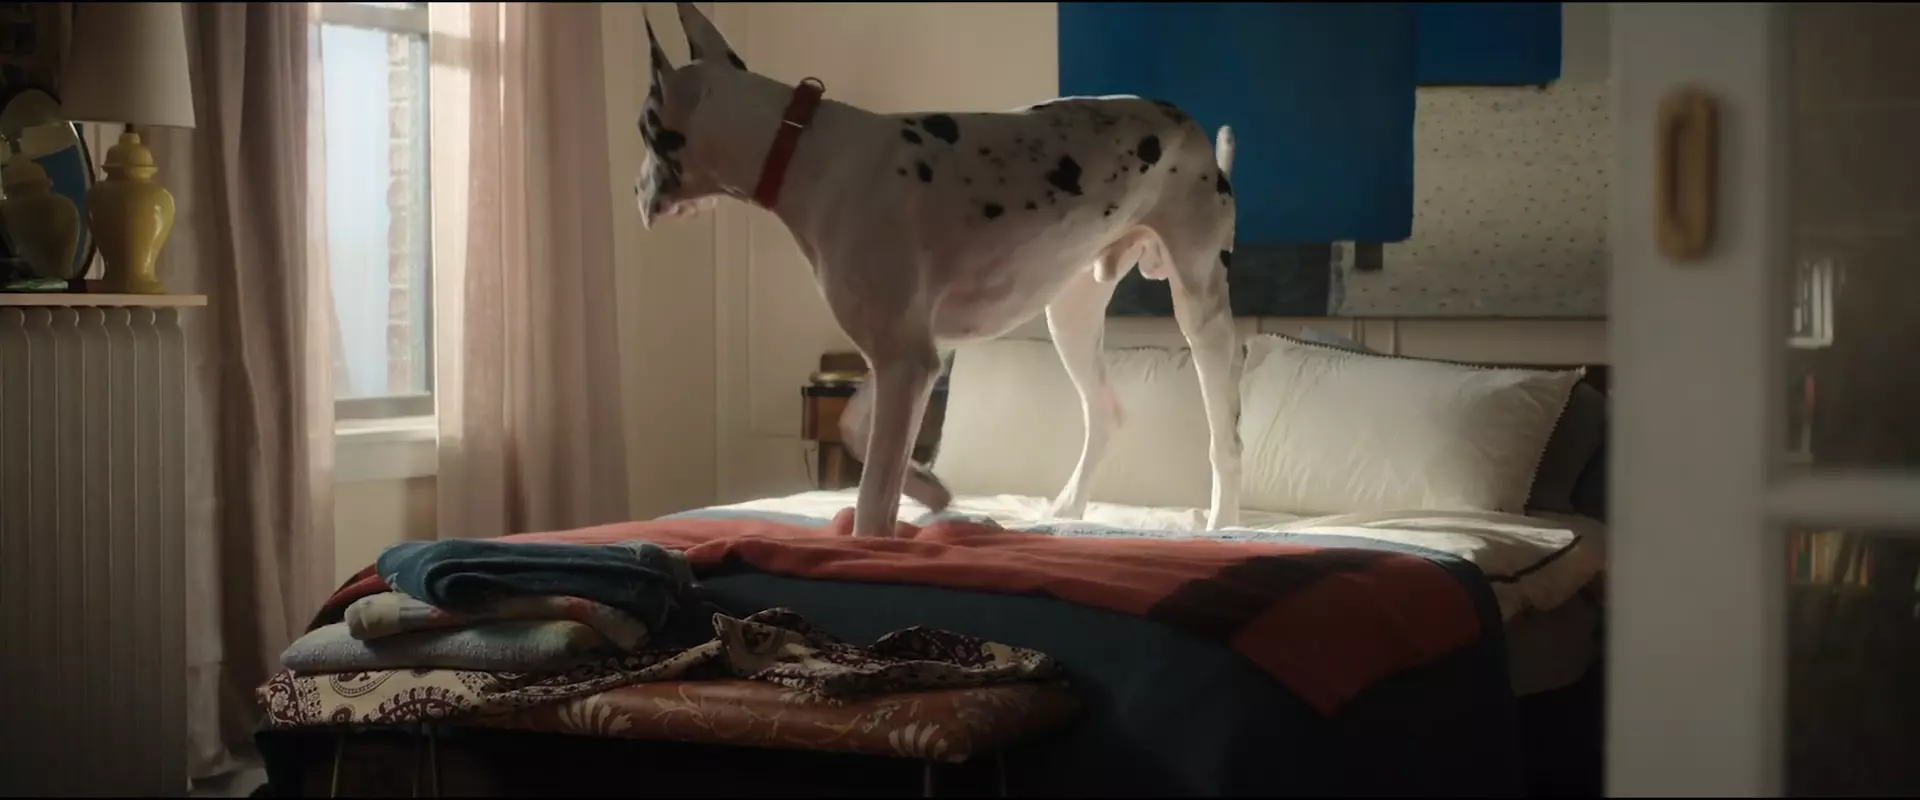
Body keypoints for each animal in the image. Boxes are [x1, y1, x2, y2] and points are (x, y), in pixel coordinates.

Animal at [636, 4, 1243, 538]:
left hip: (1200, 309)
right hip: (1071, 315)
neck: (804, 148)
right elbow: (855, 430)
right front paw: (928, 486)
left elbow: (872, 504)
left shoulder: (908, 361)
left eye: (643, 129)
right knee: (1107, 414)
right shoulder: (910, 353)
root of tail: (1189, 125)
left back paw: (1223, 523)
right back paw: (1068, 507)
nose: (633, 189)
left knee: (1225, 437)